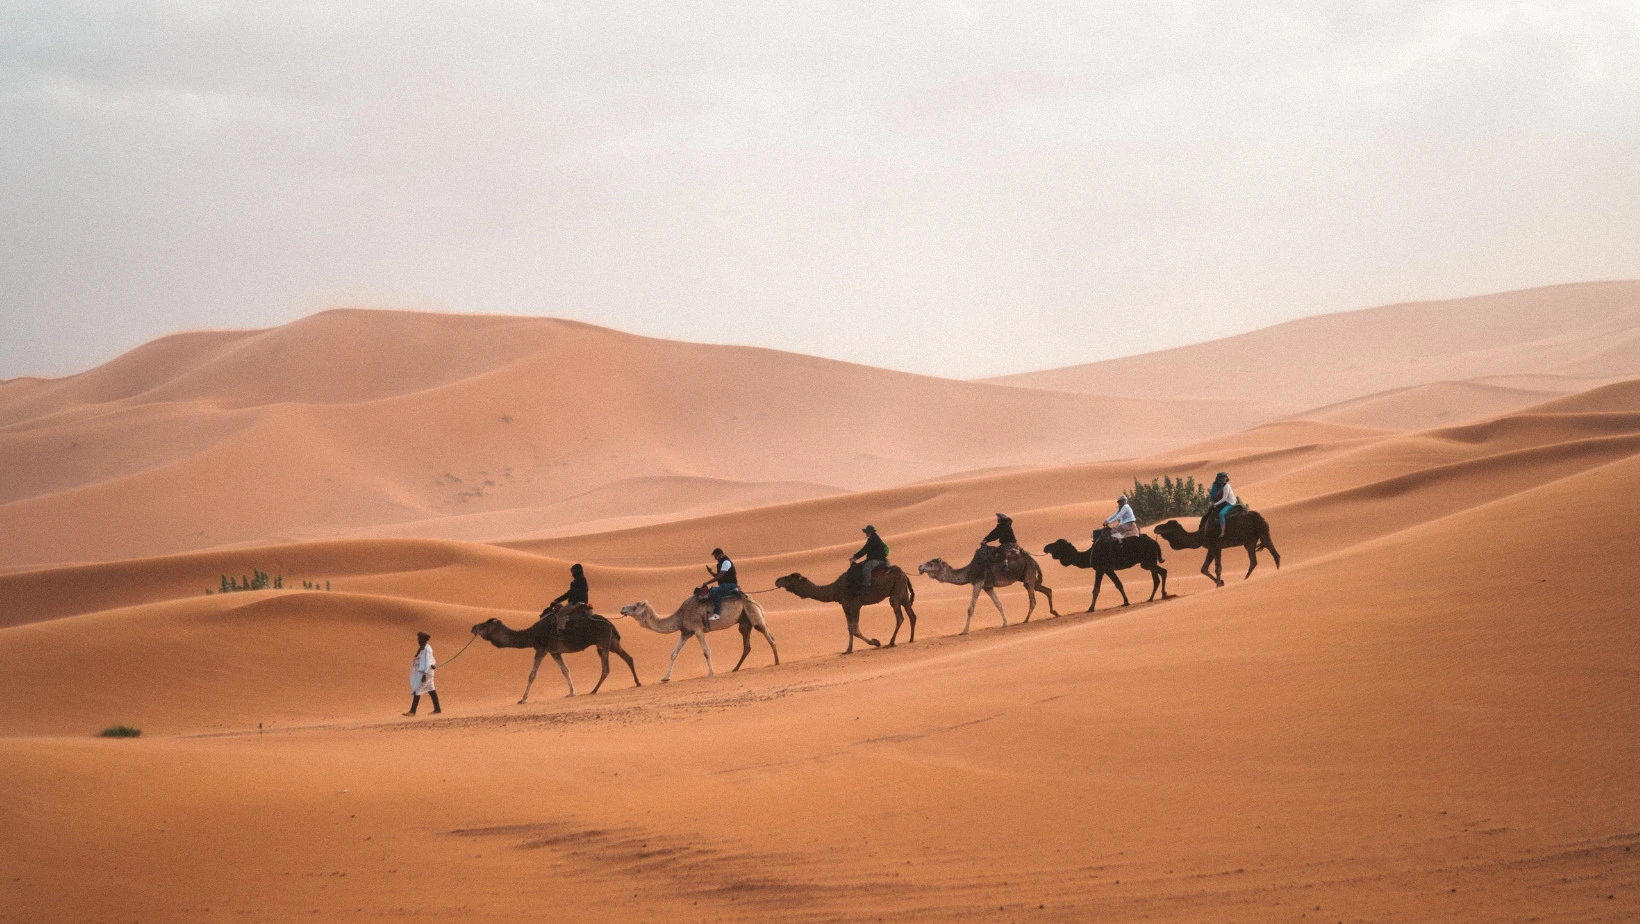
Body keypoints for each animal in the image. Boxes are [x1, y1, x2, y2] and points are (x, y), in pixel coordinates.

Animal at [469, 610, 639, 705]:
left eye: (485, 624)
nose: (473, 628)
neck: (532, 635)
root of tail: (610, 623)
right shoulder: (555, 652)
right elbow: (565, 670)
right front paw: (571, 692)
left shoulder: (541, 648)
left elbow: (532, 675)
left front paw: (523, 699)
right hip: (611, 642)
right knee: (628, 658)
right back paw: (637, 683)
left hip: (603, 641)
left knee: (606, 668)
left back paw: (593, 690)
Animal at [616, 590, 777, 682]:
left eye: (635, 606)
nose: (622, 608)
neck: (681, 615)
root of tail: (754, 599)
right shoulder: (686, 632)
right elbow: (674, 653)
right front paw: (665, 677)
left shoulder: (698, 629)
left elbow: (706, 651)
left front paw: (711, 673)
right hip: (744, 621)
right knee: (747, 645)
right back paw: (735, 668)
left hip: (752, 612)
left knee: (768, 635)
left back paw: (776, 661)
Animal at [770, 567, 918, 653]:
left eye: (789, 578)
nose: (777, 580)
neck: (836, 589)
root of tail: (905, 574)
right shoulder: (845, 605)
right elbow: (850, 628)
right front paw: (848, 649)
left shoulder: (856, 604)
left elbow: (855, 628)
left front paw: (875, 642)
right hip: (902, 591)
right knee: (911, 614)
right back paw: (911, 639)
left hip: (896, 591)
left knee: (900, 616)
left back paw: (891, 642)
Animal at [918, 548, 1056, 636]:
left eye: (931, 563)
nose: (920, 566)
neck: (969, 571)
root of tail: (1034, 560)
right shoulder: (987, 587)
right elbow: (998, 604)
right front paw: (1005, 623)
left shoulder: (978, 582)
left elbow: (970, 608)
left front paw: (964, 631)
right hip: (1027, 577)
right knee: (1046, 590)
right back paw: (1054, 613)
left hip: (1029, 574)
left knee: (1033, 600)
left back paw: (1026, 620)